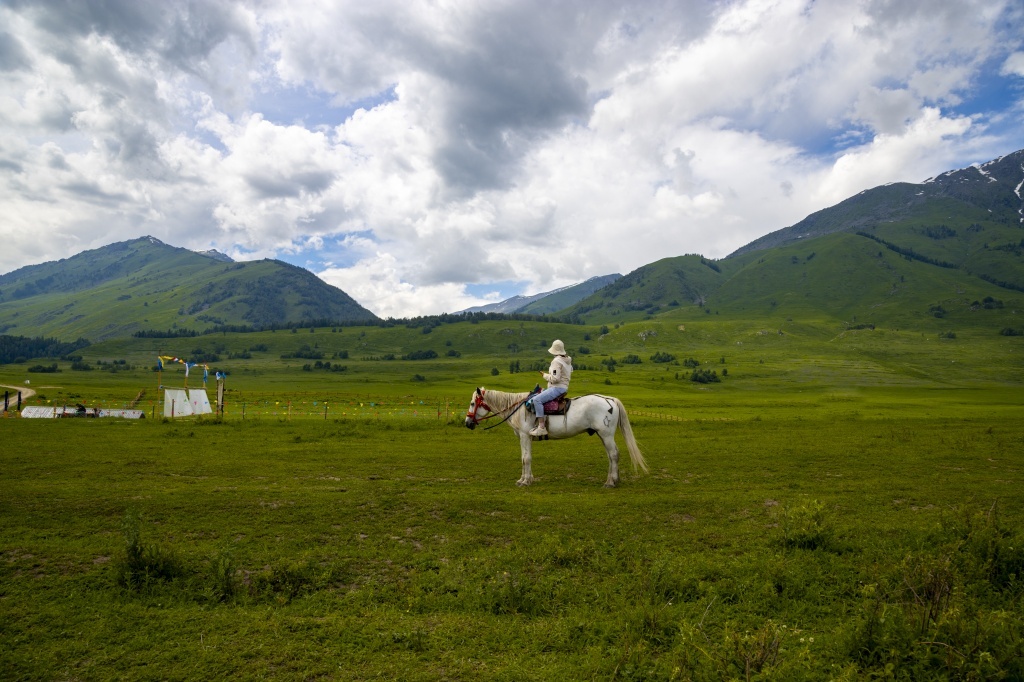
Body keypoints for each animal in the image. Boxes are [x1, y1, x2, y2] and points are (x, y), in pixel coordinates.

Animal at [464, 385, 647, 485]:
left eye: (473, 403)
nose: (467, 423)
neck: (518, 408)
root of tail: (611, 400)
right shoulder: (525, 438)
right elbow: (524, 458)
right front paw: (525, 479)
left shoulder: (525, 436)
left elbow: (526, 458)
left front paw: (525, 481)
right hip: (603, 435)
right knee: (611, 456)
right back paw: (613, 480)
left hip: (606, 434)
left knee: (614, 454)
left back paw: (611, 482)